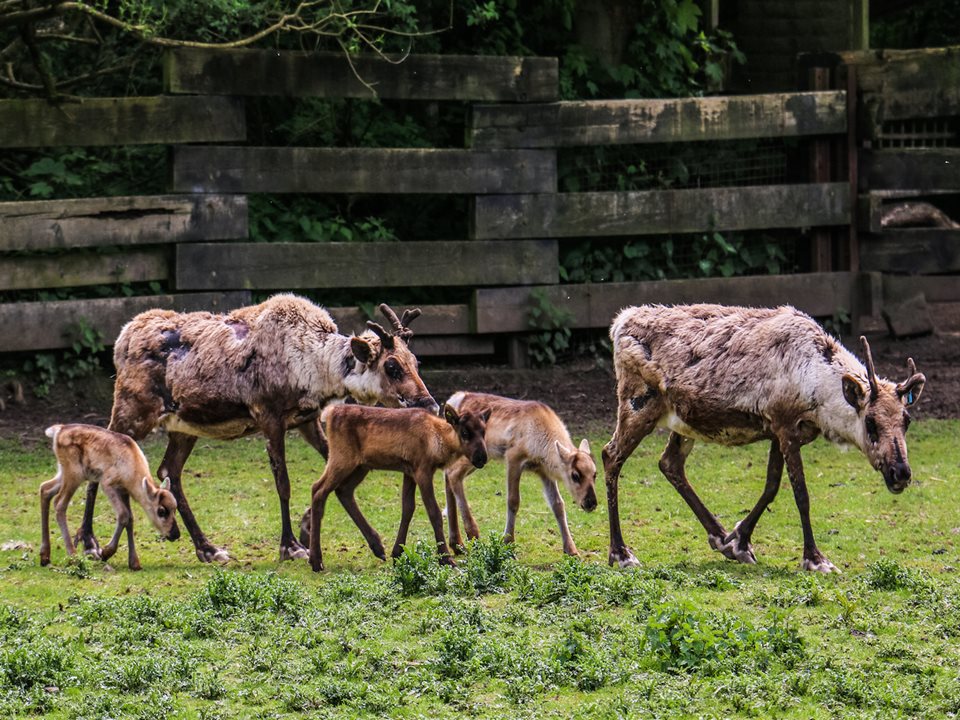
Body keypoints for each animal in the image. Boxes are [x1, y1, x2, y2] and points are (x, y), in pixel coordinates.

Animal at [39, 424, 180, 572]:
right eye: (161, 511)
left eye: (175, 508)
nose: (176, 534)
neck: (132, 470)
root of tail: (58, 430)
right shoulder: (107, 483)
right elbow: (123, 514)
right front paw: (105, 552)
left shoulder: (124, 491)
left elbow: (130, 518)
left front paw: (134, 562)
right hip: (74, 473)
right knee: (59, 503)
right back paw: (74, 557)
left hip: (64, 472)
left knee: (45, 489)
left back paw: (45, 556)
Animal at [310, 402, 492, 572]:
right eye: (465, 433)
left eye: (483, 431)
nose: (482, 458)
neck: (437, 440)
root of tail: (330, 412)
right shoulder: (422, 470)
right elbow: (433, 512)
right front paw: (446, 558)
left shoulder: (409, 471)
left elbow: (408, 508)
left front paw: (397, 552)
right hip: (341, 458)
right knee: (318, 490)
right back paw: (316, 560)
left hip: (361, 466)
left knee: (343, 491)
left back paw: (377, 547)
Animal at [446, 394, 596, 556]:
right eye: (575, 475)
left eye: (595, 474)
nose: (591, 503)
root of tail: (454, 399)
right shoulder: (513, 457)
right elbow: (513, 501)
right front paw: (508, 542)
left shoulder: (544, 471)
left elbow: (558, 504)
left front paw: (571, 549)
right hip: (473, 457)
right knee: (453, 474)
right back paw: (471, 533)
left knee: (448, 474)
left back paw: (456, 543)